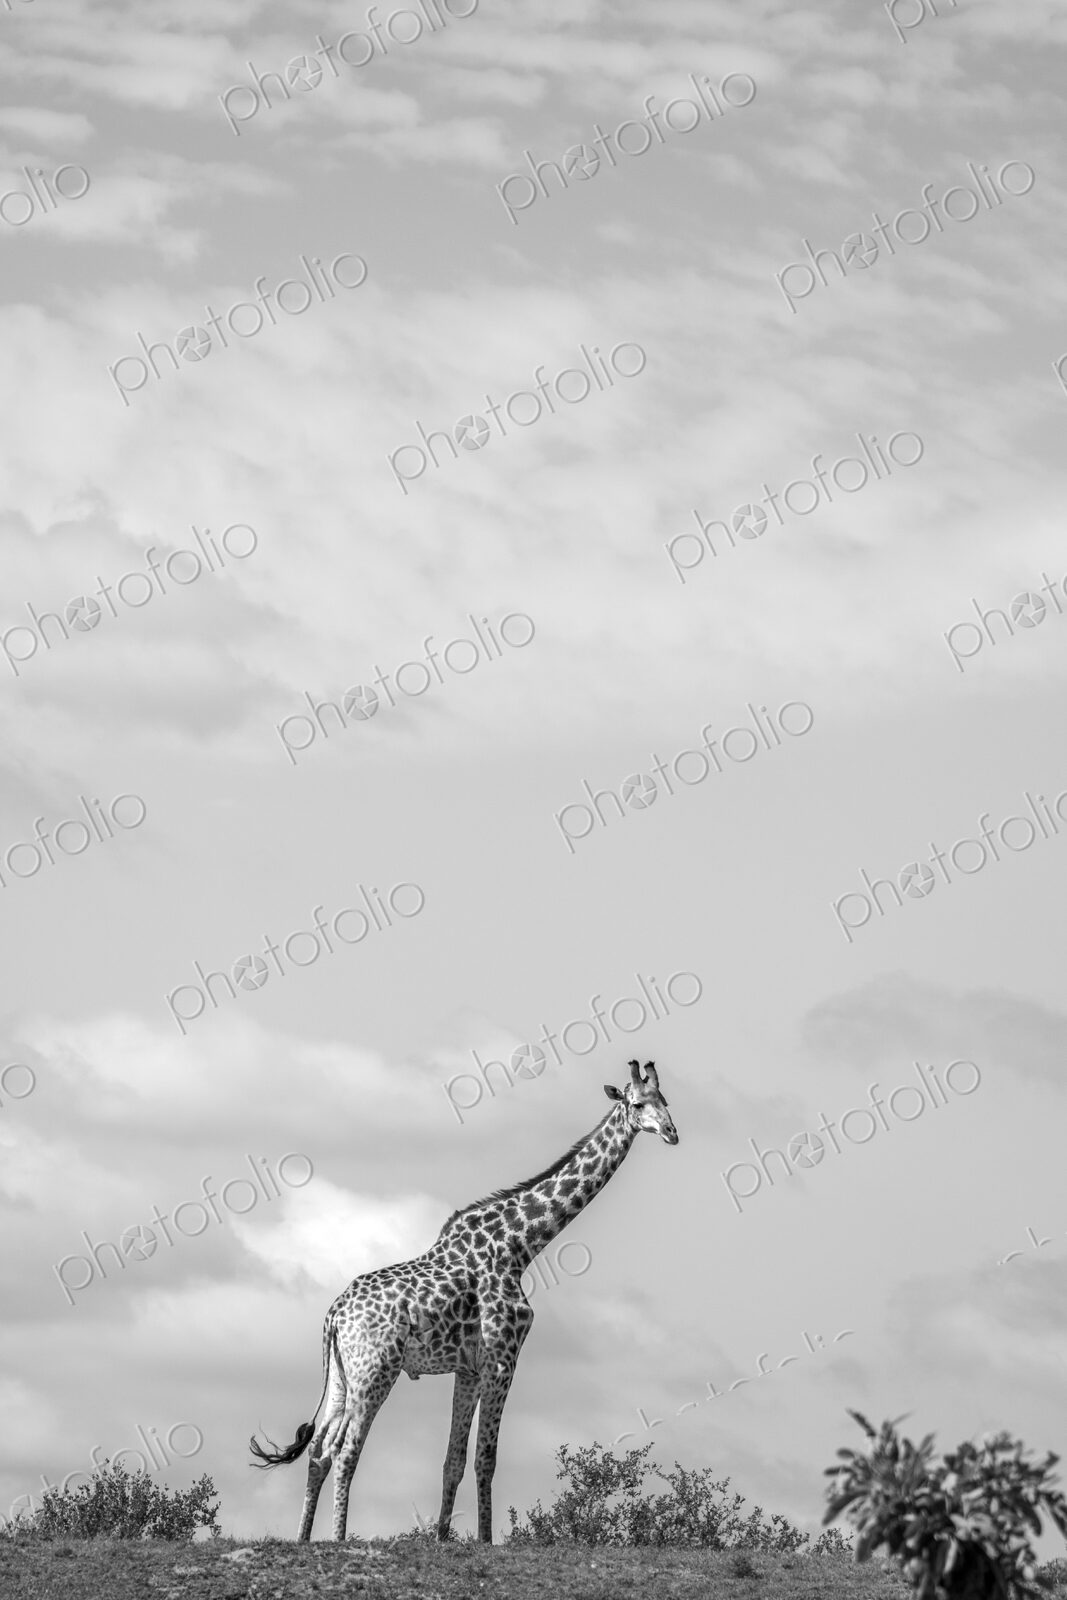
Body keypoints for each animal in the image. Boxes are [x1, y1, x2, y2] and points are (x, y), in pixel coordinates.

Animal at [250, 1058, 679, 1543]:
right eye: (638, 1103)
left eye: (666, 1099)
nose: (671, 1132)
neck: (520, 1247)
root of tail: (334, 1316)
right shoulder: (502, 1359)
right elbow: (486, 1458)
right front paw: (487, 1540)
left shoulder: (468, 1369)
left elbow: (452, 1460)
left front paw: (441, 1537)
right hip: (375, 1368)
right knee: (345, 1447)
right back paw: (338, 1539)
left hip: (343, 1373)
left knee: (320, 1447)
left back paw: (303, 1538)